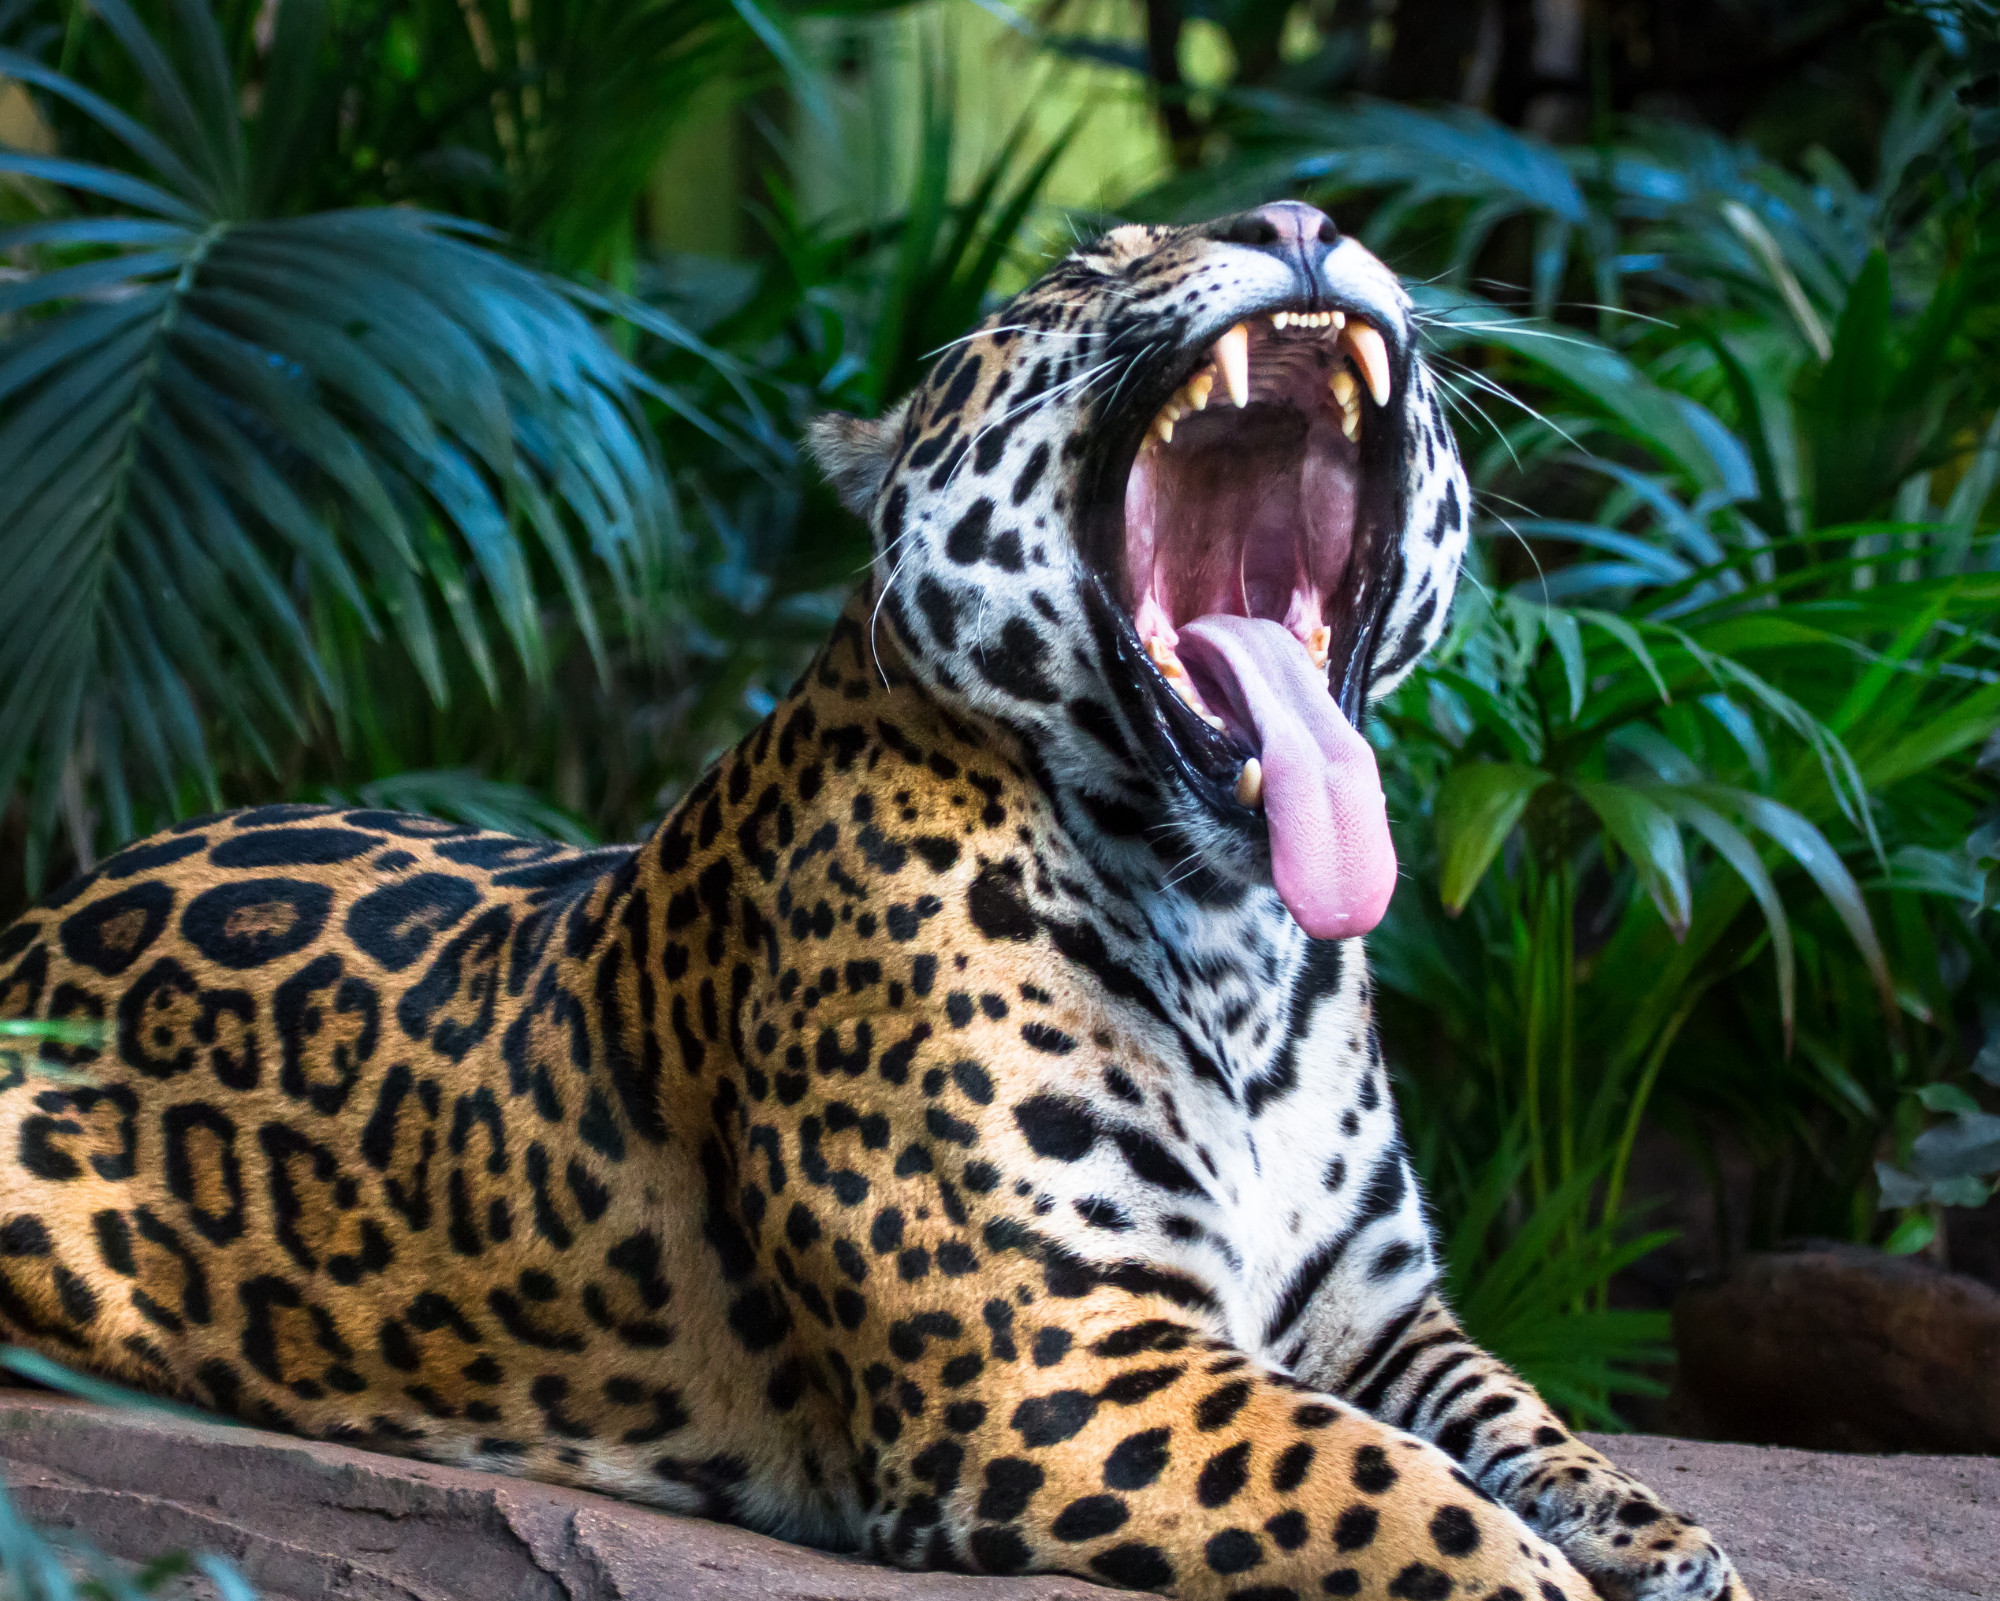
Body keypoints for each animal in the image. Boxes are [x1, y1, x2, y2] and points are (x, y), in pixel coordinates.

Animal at [0, 201, 1749, 1601]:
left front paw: (1668, 1544)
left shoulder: (1379, 1317)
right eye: (1086, 267)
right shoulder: (1058, 1363)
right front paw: (1543, 1577)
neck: (1240, 934)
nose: (1305, 220)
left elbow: (1525, 1425)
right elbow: (1393, 1492)